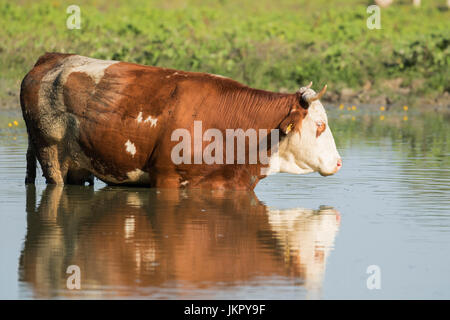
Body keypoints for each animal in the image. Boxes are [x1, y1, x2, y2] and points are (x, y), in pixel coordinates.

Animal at [19, 51, 340, 189]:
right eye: (320, 126)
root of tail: (51, 58)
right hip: (49, 152)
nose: (338, 163)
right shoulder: (167, 179)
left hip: (79, 166)